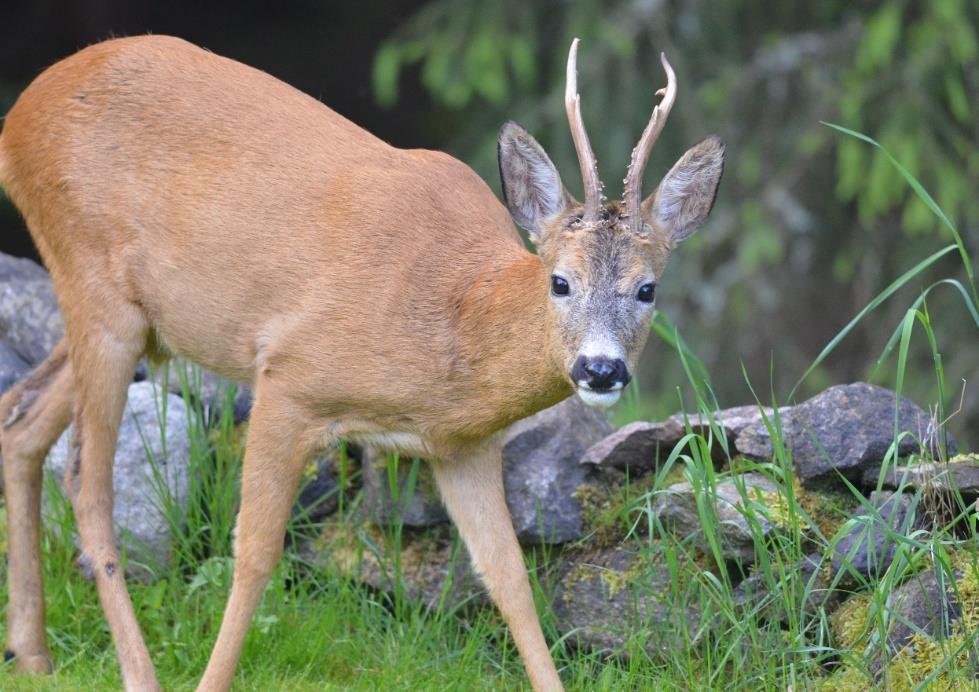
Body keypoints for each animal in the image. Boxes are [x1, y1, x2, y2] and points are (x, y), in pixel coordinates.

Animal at [0, 35, 720, 688]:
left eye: (646, 289)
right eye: (560, 281)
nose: (600, 370)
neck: (454, 314)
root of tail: (19, 117)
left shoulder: (463, 446)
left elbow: (508, 577)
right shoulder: (288, 379)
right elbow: (254, 553)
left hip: (139, 323)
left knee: (23, 419)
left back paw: (33, 655)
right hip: (97, 288)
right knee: (87, 484)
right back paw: (136, 673)